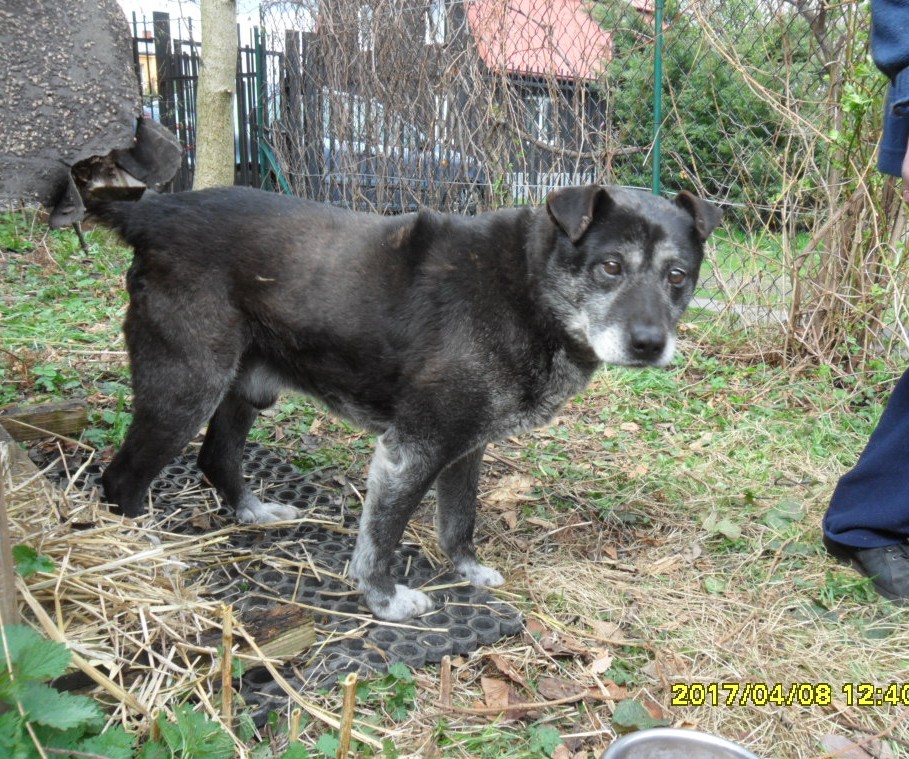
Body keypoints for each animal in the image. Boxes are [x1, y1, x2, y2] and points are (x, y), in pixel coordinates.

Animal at [87, 184, 721, 621]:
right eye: (611, 266)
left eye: (678, 276)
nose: (649, 343)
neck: (528, 287)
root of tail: (152, 213)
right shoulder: (413, 449)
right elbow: (381, 540)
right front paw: (384, 601)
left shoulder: (466, 447)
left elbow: (459, 521)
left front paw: (467, 571)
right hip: (186, 389)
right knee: (121, 481)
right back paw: (140, 555)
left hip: (244, 387)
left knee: (215, 457)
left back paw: (253, 513)